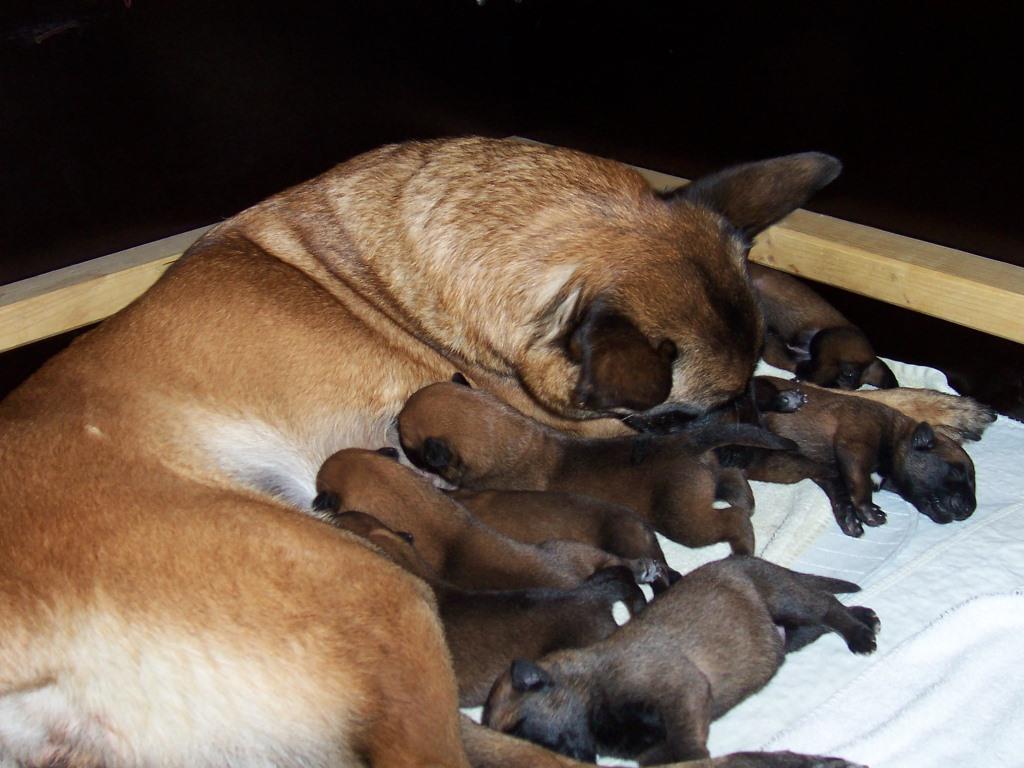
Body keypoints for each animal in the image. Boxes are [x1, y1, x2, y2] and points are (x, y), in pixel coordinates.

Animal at [399, 380, 797, 555]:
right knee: (734, 482)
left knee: (731, 522)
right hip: (713, 473)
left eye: (406, 439)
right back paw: (746, 500)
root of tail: (686, 443)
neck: (511, 436)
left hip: (685, 519)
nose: (392, 428)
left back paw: (743, 545)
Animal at [482, 555, 878, 765]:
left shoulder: (679, 691)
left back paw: (859, 634)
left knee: (827, 606)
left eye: (523, 729)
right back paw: (865, 616)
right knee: (823, 616)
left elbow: (685, 745)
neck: (590, 686)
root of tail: (747, 558)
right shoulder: (650, 747)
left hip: (783, 596)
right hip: (790, 633)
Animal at [735, 376, 979, 536]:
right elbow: (860, 485)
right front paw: (867, 509)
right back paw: (786, 400)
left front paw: (849, 517)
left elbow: (840, 492)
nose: (970, 509)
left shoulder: (828, 472)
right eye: (956, 471)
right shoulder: (855, 446)